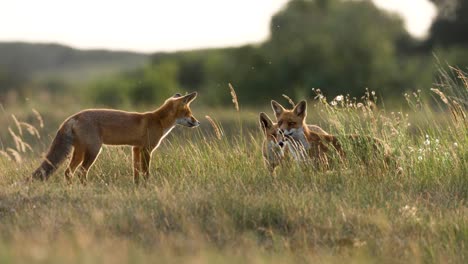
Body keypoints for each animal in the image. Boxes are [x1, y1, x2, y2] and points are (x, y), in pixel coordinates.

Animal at [32, 92, 200, 184]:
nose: (197, 122)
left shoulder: (136, 149)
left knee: (68, 172)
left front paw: (137, 187)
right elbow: (146, 172)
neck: (157, 120)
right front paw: (148, 186)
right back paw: (85, 188)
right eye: (188, 113)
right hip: (93, 150)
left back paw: (71, 188)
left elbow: (136, 172)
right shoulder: (147, 149)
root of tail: (74, 116)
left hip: (79, 151)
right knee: (81, 171)